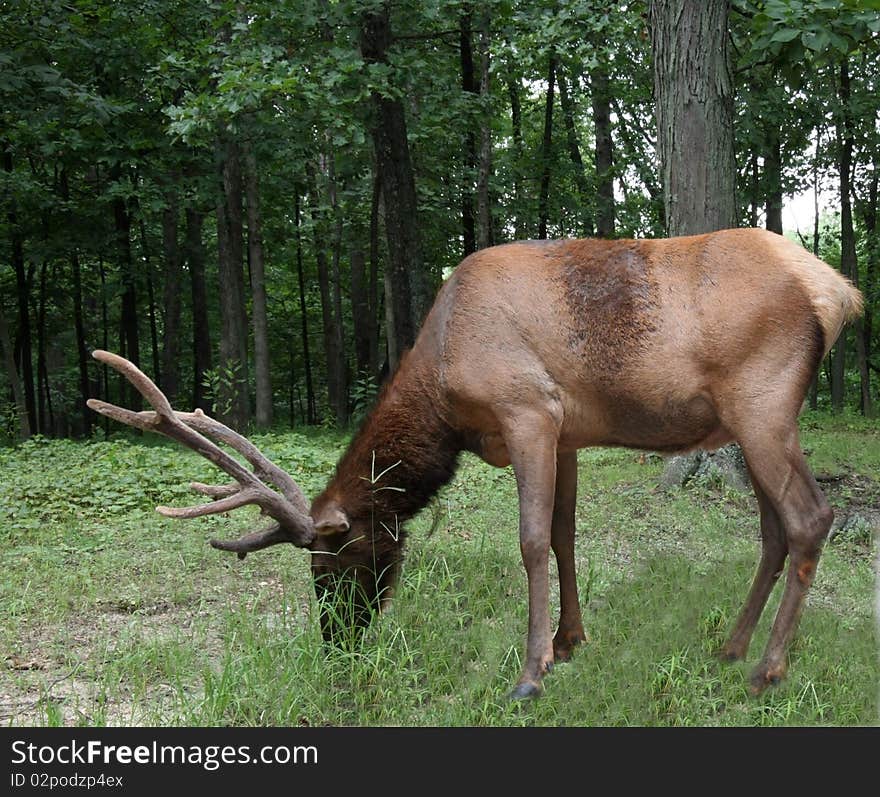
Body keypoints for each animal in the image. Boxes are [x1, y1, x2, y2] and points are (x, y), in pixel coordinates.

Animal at [89, 229, 860, 696]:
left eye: (330, 564)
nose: (335, 643)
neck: (442, 386)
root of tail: (838, 290)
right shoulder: (568, 432)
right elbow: (564, 535)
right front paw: (570, 641)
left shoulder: (529, 410)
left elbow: (531, 540)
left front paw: (530, 672)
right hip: (745, 420)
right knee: (773, 529)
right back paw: (731, 648)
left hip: (762, 402)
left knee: (811, 517)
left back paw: (767, 669)